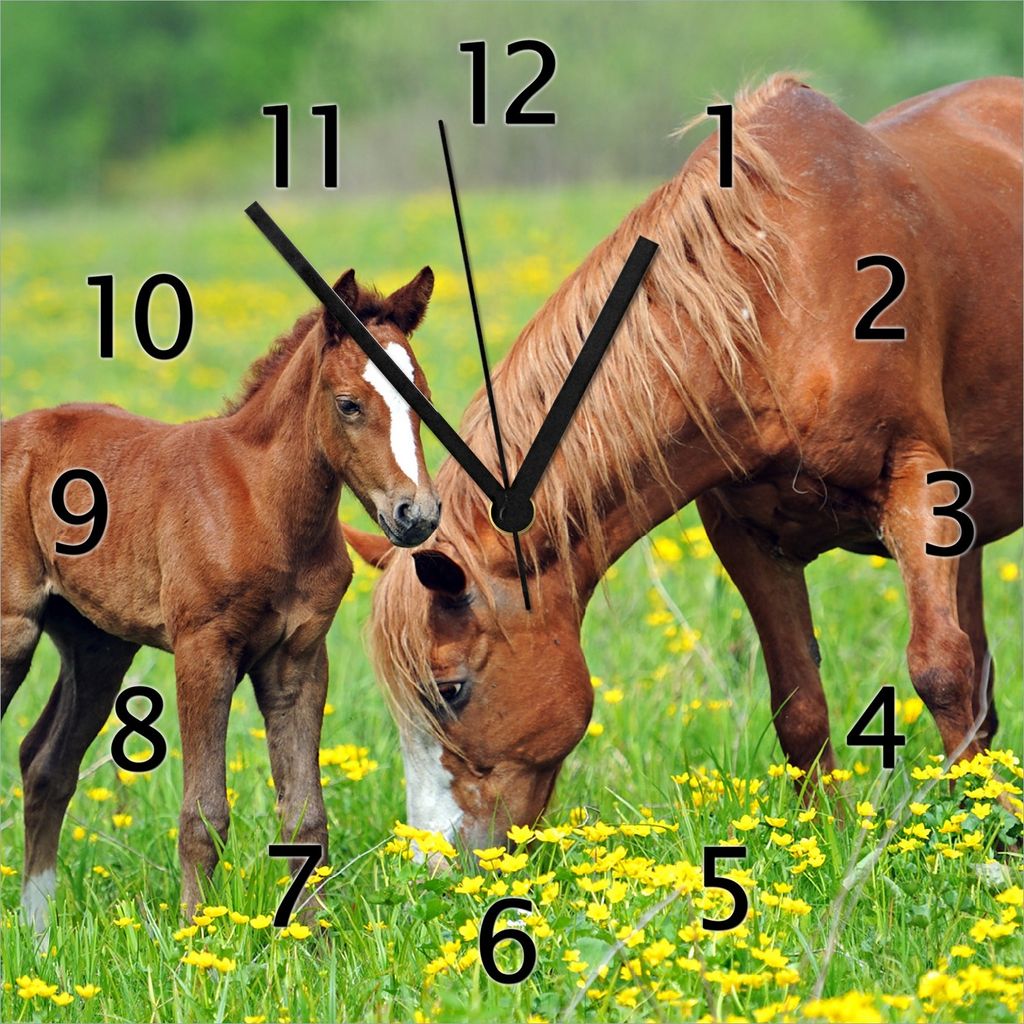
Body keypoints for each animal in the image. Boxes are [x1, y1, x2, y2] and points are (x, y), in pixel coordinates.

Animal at [1, 267, 441, 928]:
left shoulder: (298, 660)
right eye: (348, 404)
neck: (262, 503)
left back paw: (39, 930)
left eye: (423, 398)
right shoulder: (203, 649)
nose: (417, 515)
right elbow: (202, 814)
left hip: (98, 647)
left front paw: (311, 938)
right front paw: (195, 935)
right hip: (13, 634)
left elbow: (306, 815)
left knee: (46, 763)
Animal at [345, 75, 1023, 855]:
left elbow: (941, 668)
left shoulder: (913, 483)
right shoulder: (747, 535)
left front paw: (989, 839)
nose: (434, 862)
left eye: (450, 689)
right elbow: (799, 703)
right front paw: (819, 842)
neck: (779, 297)